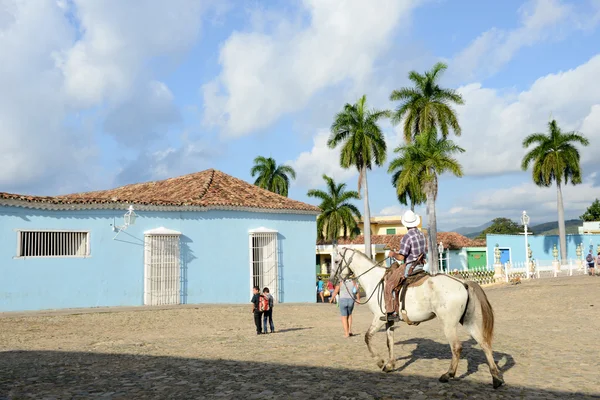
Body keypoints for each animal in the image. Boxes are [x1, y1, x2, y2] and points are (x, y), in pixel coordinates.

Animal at [330, 248, 504, 390]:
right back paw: (496, 378)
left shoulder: (378, 319)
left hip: (448, 324)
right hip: (468, 321)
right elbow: (389, 342)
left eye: (337, 261)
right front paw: (389, 365)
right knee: (484, 344)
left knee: (456, 347)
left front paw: (380, 361)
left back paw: (448, 374)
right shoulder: (389, 320)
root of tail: (463, 283)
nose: (332, 280)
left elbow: (367, 337)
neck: (375, 280)